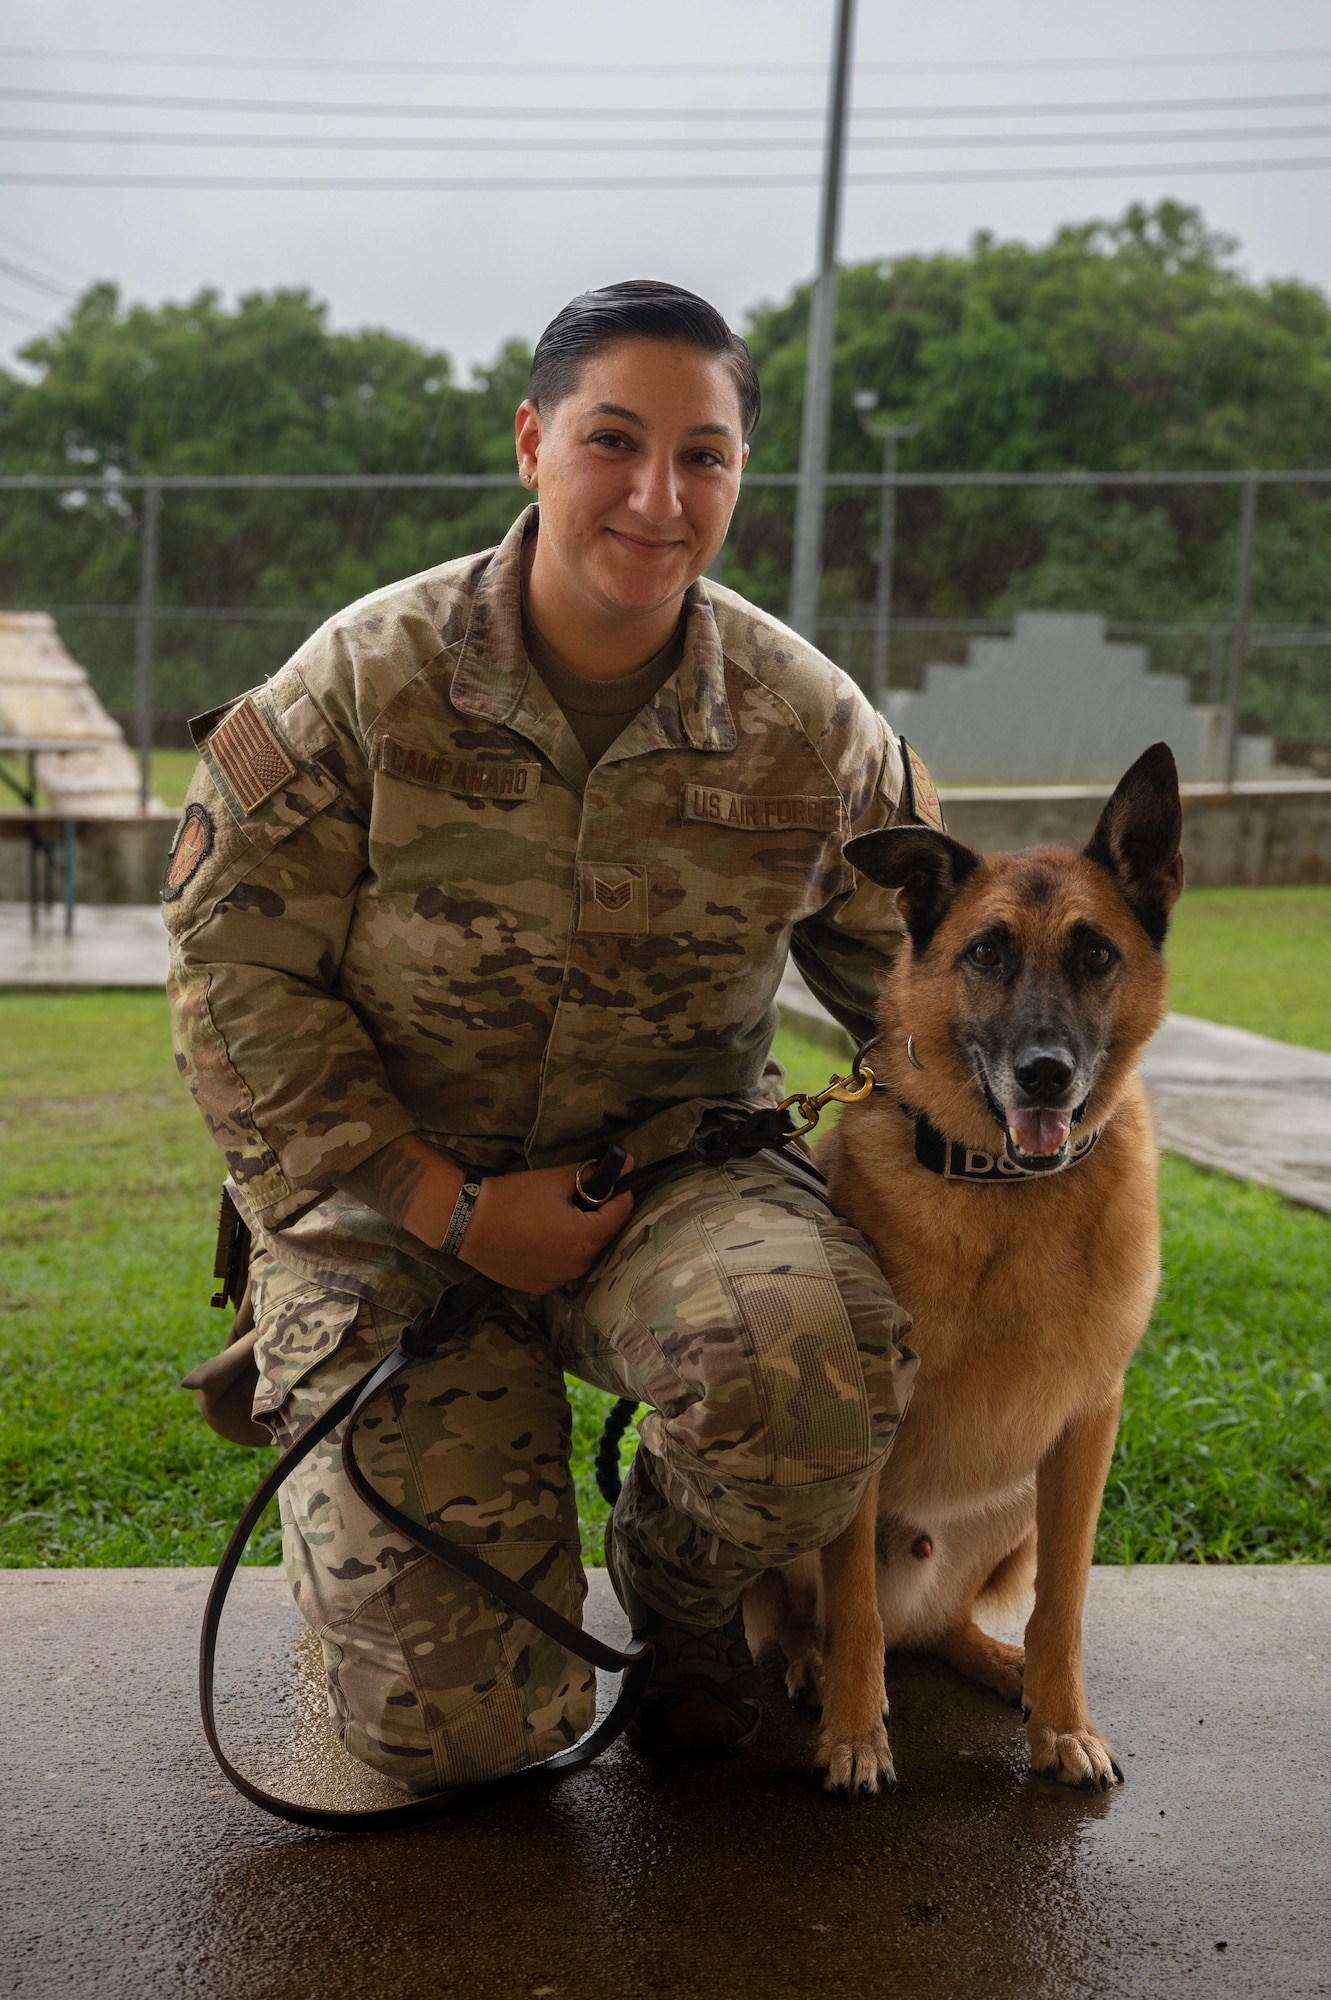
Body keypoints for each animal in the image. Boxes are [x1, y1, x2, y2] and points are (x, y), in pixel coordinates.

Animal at [747, 740, 1183, 1800]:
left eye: (1095, 954)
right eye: (985, 952)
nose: (1045, 1074)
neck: (1007, 1191)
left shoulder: (1086, 1430)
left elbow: (1063, 1604)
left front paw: (1062, 1722)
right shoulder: (863, 1428)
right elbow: (853, 1608)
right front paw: (855, 1737)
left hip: (1015, 1505)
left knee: (947, 1626)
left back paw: (1000, 1665)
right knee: (806, 1614)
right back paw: (808, 1662)